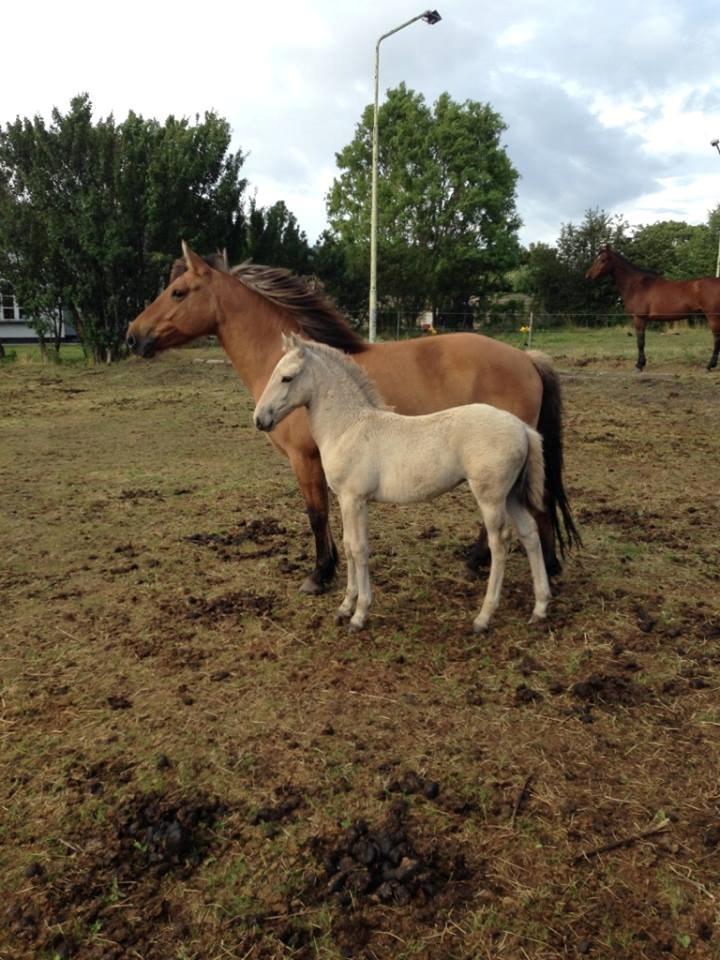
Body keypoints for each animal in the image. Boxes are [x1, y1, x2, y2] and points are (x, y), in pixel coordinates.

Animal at [128, 244, 580, 592]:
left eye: (178, 292)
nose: (133, 336)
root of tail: (525, 358)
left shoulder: (305, 459)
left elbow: (316, 514)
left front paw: (320, 574)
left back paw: (535, 567)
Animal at [253, 334, 552, 632]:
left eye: (287, 378)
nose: (259, 419)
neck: (348, 427)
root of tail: (522, 427)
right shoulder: (346, 500)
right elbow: (349, 546)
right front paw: (345, 607)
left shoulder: (354, 499)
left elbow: (359, 549)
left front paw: (359, 614)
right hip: (511, 495)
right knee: (529, 532)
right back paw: (540, 607)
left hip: (491, 496)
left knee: (499, 543)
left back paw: (484, 617)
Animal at [584, 244, 720, 372]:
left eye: (603, 260)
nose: (588, 276)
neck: (637, 285)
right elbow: (642, 342)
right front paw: (642, 363)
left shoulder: (639, 318)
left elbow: (640, 342)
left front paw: (639, 365)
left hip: (713, 317)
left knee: (717, 340)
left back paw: (709, 366)